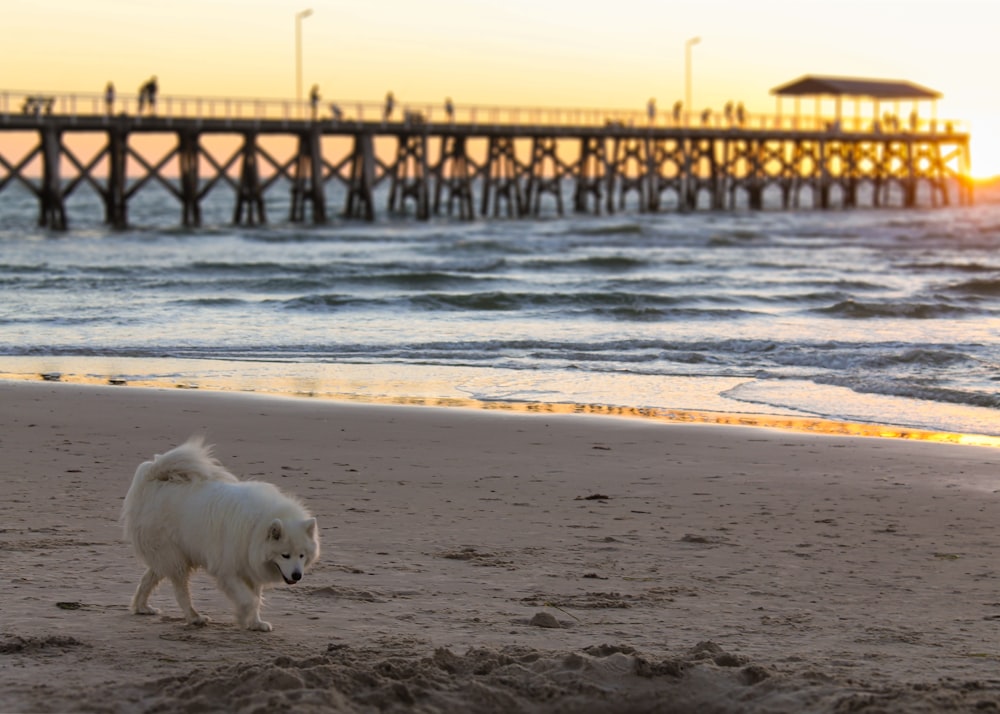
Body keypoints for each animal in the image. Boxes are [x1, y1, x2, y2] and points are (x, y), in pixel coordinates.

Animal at [120, 436, 320, 632]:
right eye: (285, 555)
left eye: (302, 556)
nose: (297, 575)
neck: (256, 529)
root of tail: (153, 477)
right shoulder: (228, 570)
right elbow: (250, 600)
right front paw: (242, 617)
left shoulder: (250, 567)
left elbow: (255, 597)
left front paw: (256, 623)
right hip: (173, 556)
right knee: (180, 591)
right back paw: (194, 618)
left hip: (172, 555)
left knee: (149, 578)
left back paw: (142, 607)